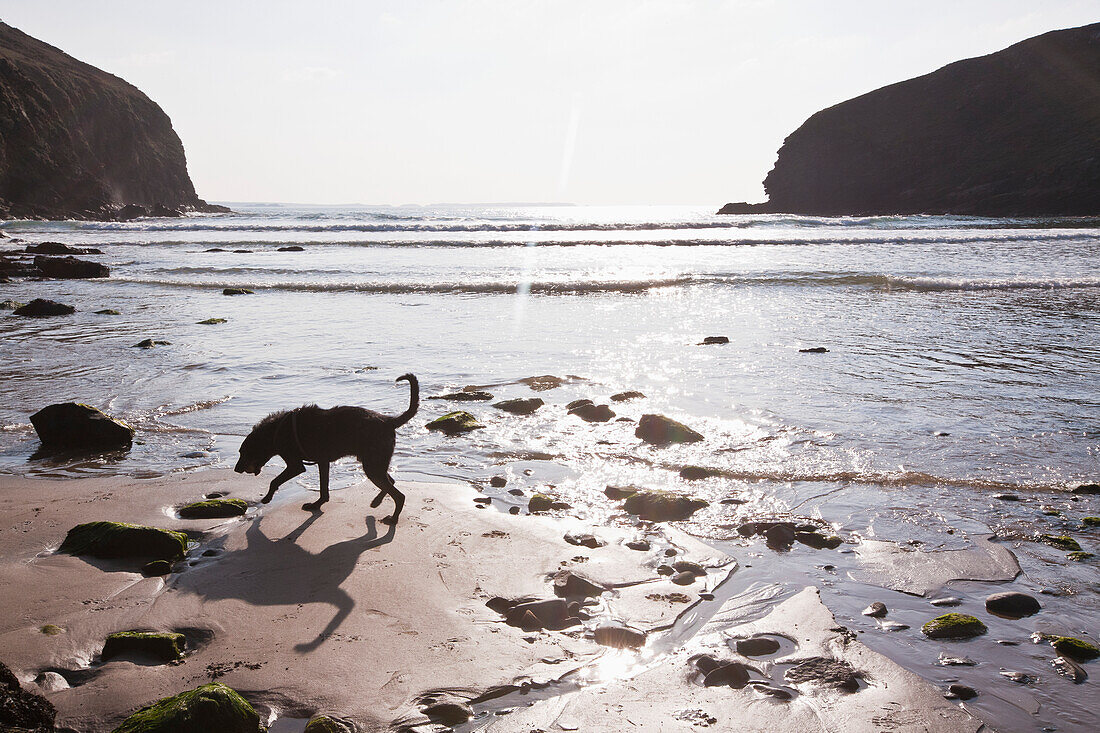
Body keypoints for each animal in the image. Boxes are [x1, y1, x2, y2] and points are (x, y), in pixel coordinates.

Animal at [234, 374, 418, 521]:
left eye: (244, 452)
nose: (236, 469)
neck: (275, 430)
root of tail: (389, 421)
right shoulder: (323, 462)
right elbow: (323, 489)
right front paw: (317, 504)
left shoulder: (296, 465)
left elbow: (275, 480)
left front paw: (267, 498)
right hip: (375, 463)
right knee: (391, 481)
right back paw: (377, 502)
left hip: (373, 465)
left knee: (399, 495)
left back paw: (393, 519)